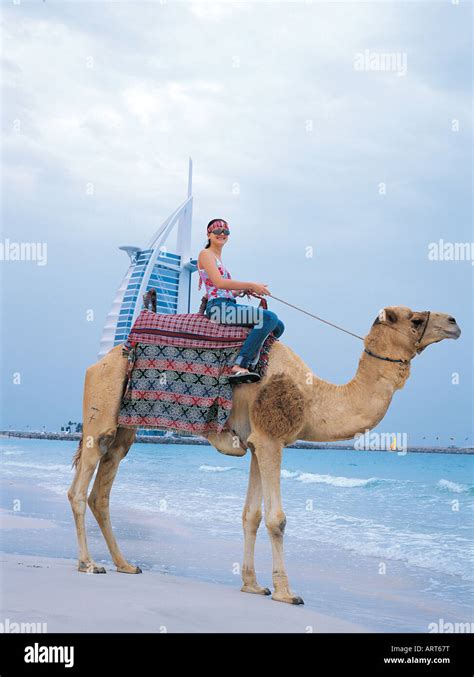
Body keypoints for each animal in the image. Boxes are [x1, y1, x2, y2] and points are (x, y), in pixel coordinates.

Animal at [68, 304, 462, 604]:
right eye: (415, 319)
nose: (454, 322)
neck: (312, 397)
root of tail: (101, 360)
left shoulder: (259, 444)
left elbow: (251, 516)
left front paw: (253, 585)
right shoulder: (272, 441)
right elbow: (277, 519)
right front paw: (287, 592)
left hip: (125, 429)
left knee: (102, 489)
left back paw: (124, 564)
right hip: (100, 413)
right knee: (79, 489)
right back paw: (88, 564)